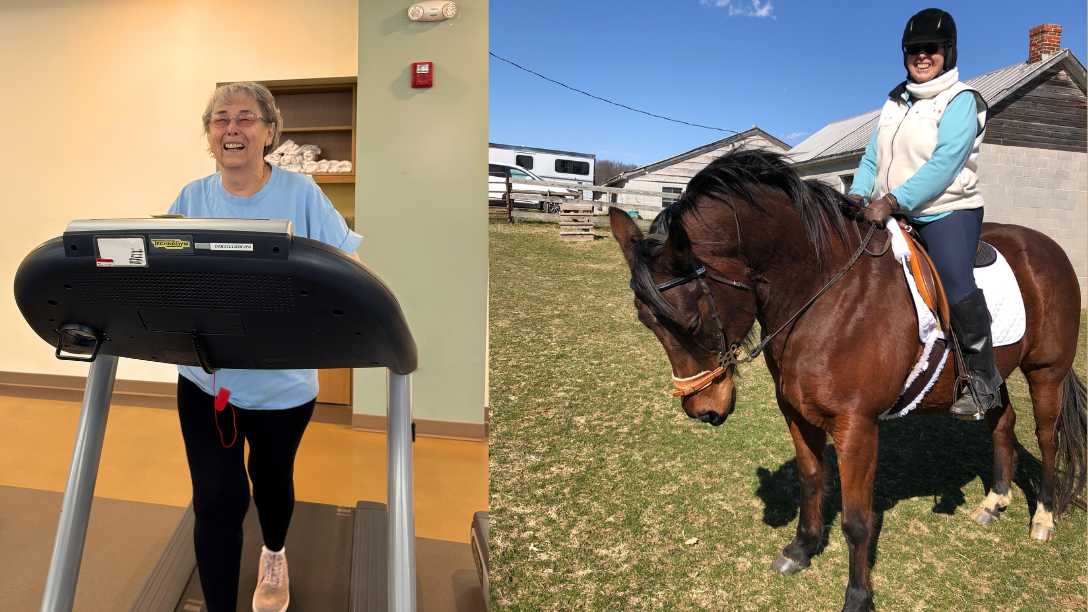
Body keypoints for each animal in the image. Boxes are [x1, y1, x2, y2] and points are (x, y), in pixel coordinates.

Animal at [608, 149, 1086, 612]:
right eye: (645, 321)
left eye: (691, 321)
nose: (702, 410)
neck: (825, 295)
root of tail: (1049, 247)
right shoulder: (796, 411)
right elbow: (810, 481)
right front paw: (801, 550)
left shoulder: (857, 426)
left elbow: (857, 521)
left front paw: (858, 597)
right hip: (993, 375)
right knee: (1002, 422)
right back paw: (995, 501)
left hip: (1046, 372)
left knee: (1047, 438)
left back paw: (1043, 518)